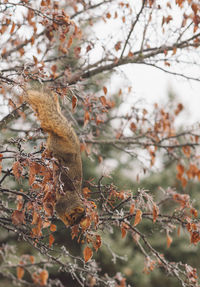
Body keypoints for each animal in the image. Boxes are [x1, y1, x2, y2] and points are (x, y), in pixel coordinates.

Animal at [24, 88, 85, 227]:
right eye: (73, 216)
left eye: (78, 221)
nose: (70, 226)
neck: (73, 198)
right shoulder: (63, 202)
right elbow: (59, 209)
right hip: (58, 148)